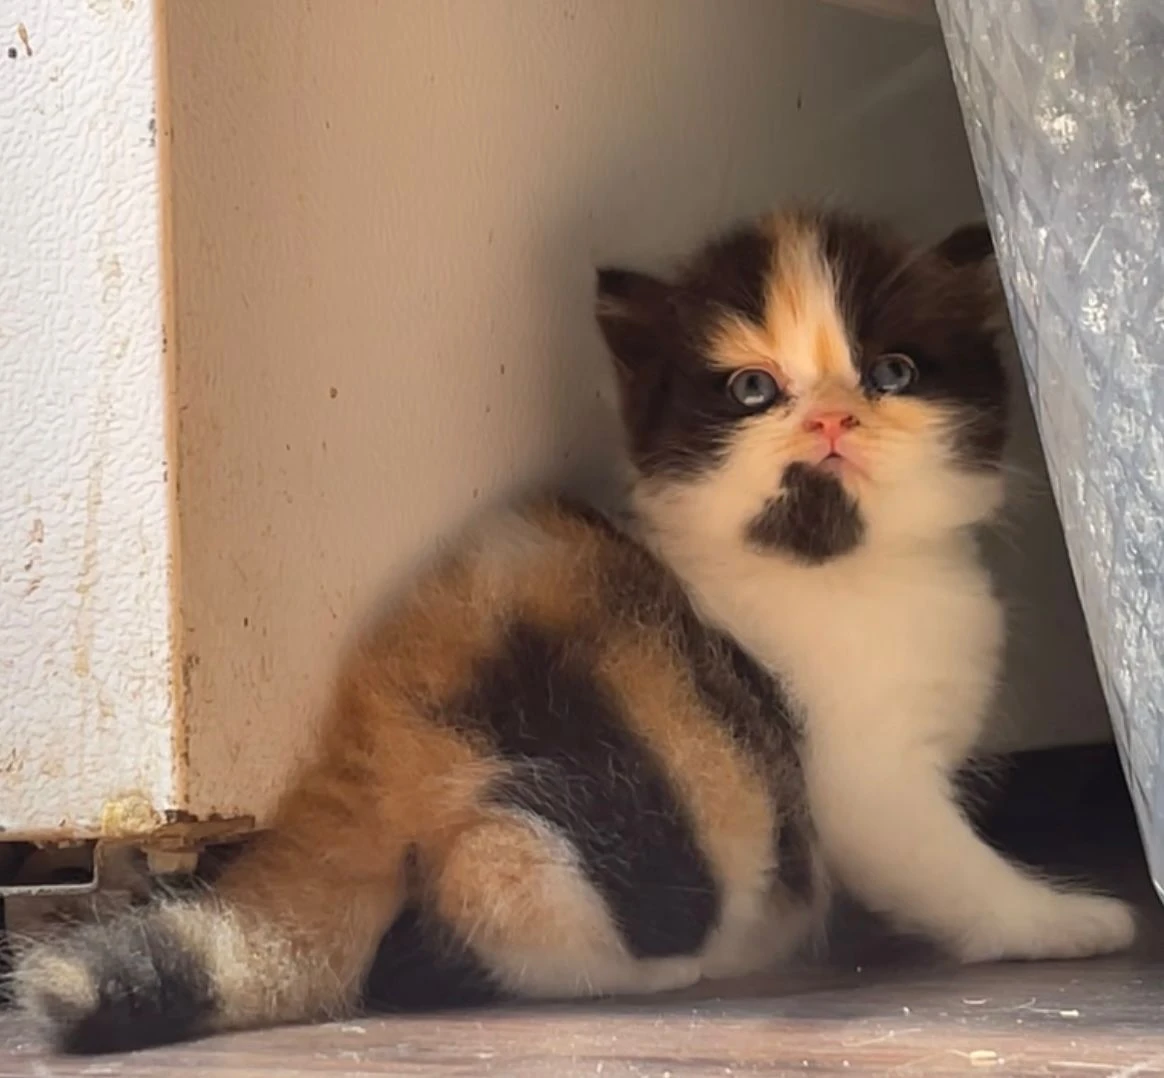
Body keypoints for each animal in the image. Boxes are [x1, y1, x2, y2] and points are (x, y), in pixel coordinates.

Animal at [13, 208, 1131, 1057]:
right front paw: (1064, 920)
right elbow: (947, 867)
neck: (841, 567)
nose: (831, 420)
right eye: (754, 389)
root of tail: (364, 760)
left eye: (893, 372)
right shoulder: (862, 780)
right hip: (604, 826)